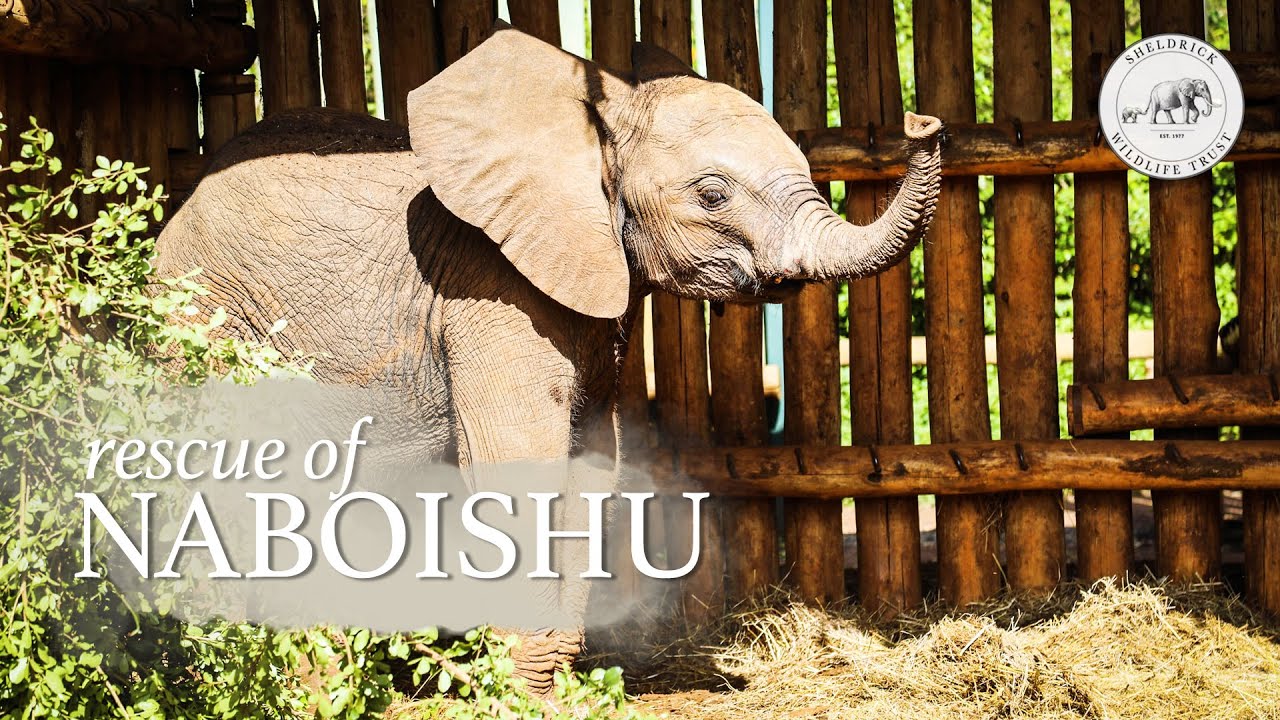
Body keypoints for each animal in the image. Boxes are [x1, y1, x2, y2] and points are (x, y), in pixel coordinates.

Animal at [154, 22, 942, 693]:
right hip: (204, 318)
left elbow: (595, 457)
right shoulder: (489, 288)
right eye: (712, 194)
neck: (591, 129)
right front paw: (521, 686)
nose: (923, 123)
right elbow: (519, 457)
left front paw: (553, 680)